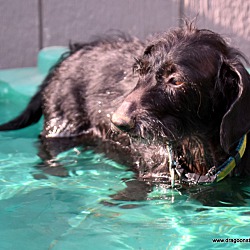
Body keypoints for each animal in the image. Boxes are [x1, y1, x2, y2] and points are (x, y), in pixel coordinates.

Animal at [0, 23, 250, 188]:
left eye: (176, 80)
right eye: (140, 71)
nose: (118, 121)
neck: (196, 150)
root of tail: (72, 53)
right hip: (61, 127)